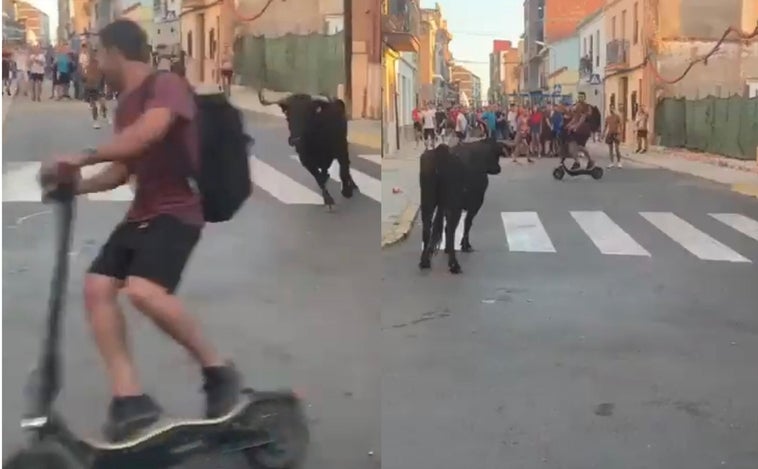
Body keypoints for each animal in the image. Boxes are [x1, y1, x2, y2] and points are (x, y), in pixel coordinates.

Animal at [418, 139, 508, 272]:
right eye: (496, 154)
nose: (498, 168)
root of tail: (442, 152)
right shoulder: (475, 203)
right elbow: (468, 223)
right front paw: (465, 245)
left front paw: (447, 249)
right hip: (455, 206)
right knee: (451, 229)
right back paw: (454, 264)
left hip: (427, 201)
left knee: (427, 227)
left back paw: (425, 261)